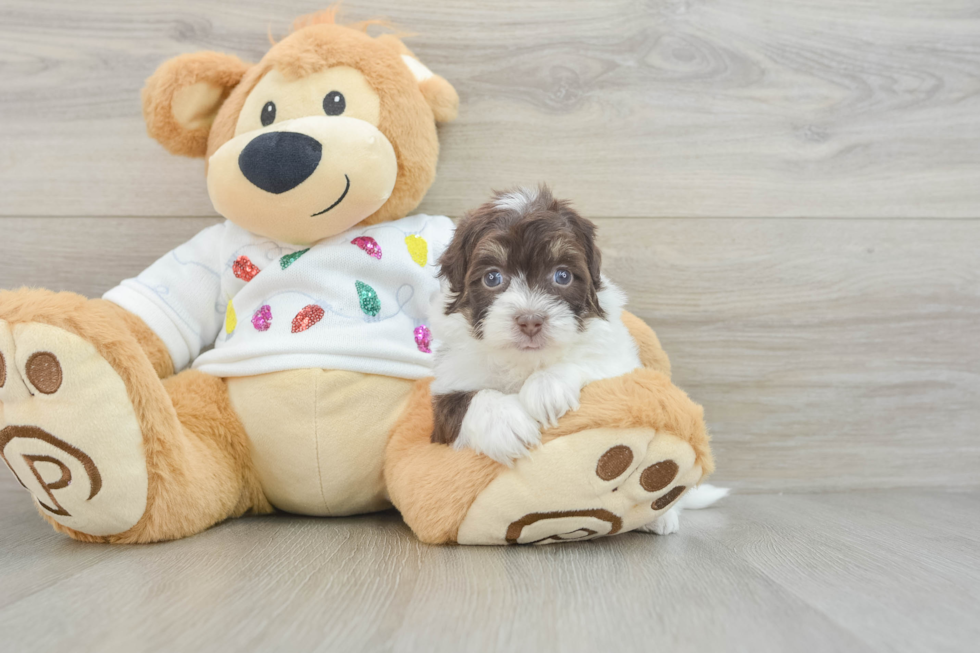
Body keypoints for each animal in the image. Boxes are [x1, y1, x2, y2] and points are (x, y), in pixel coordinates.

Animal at [430, 186, 644, 464]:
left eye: (562, 275)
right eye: (492, 277)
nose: (530, 321)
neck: (523, 362)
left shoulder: (621, 361)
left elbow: (591, 361)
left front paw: (547, 388)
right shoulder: (448, 387)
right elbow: (464, 400)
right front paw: (504, 422)